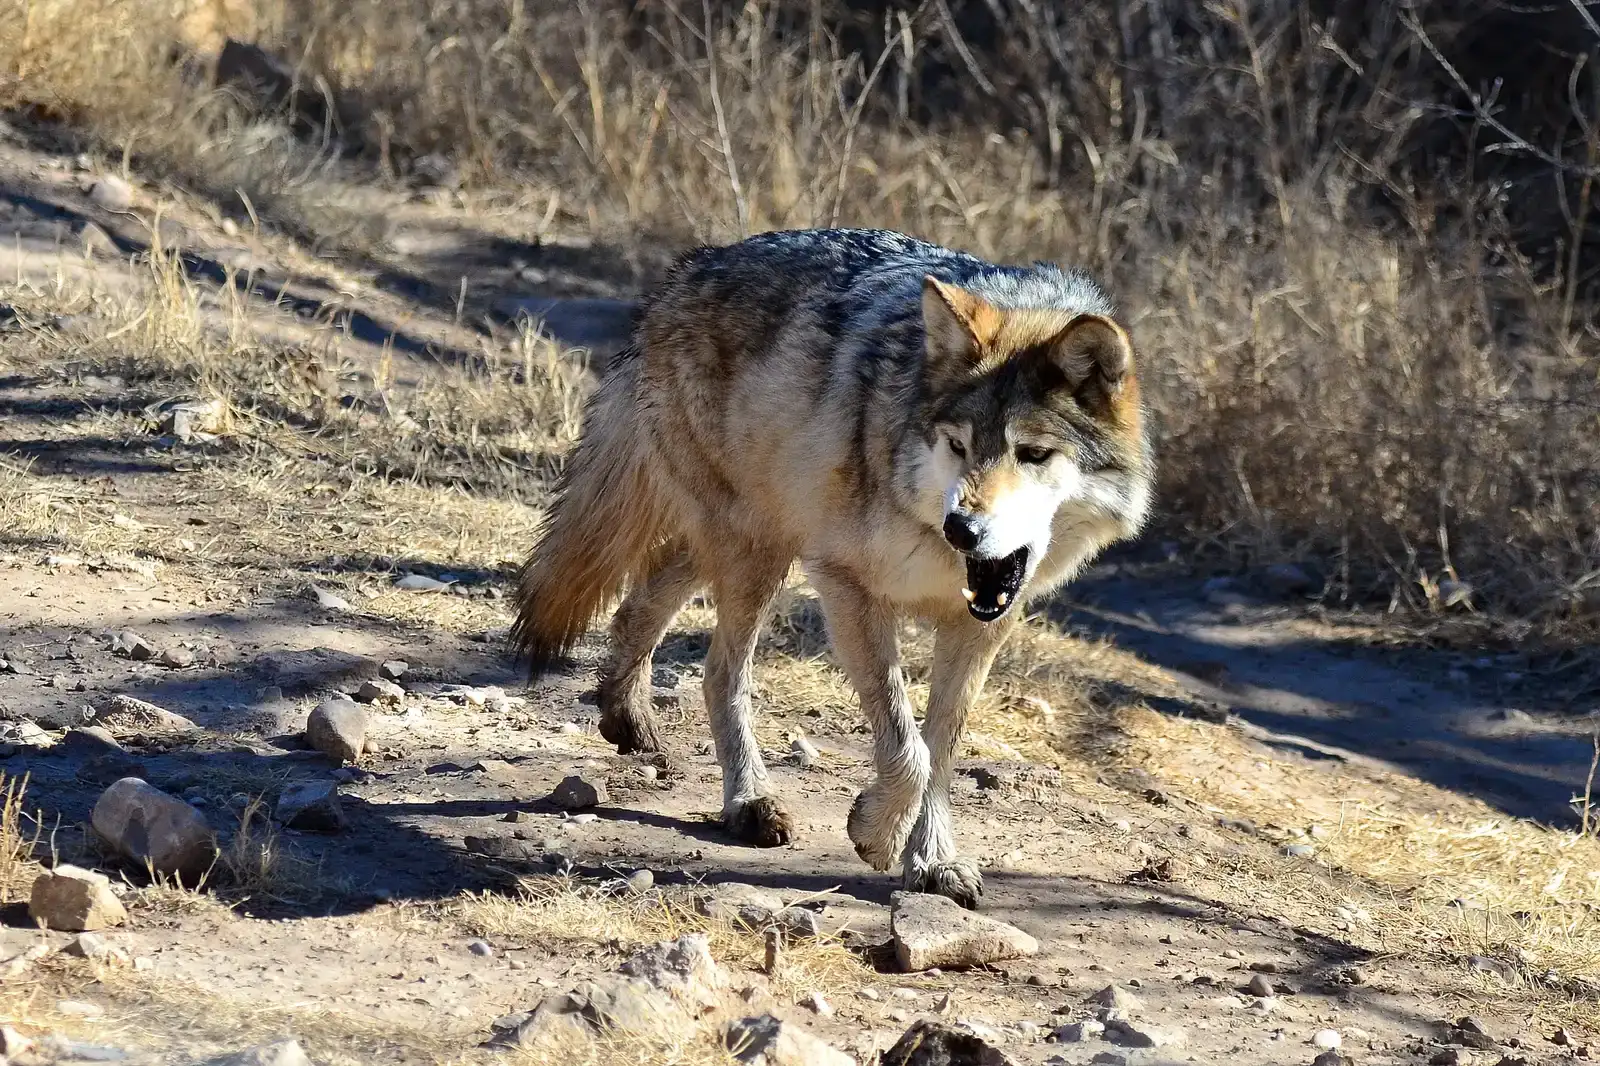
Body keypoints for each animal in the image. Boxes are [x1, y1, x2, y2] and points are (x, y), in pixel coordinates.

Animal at [512, 228, 1152, 907]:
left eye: (1032, 453)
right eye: (958, 446)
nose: (962, 528)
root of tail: (690, 267)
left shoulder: (983, 622)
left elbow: (940, 749)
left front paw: (933, 861)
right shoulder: (848, 584)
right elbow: (909, 750)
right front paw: (876, 834)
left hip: (758, 539)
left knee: (645, 596)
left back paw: (626, 714)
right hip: (758, 550)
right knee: (719, 671)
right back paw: (749, 802)